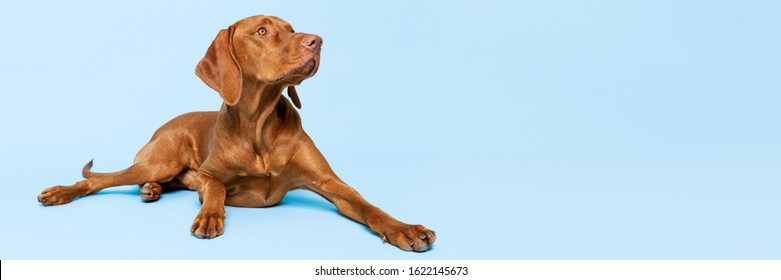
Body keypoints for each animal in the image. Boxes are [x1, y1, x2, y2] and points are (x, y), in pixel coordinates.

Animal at [36, 14, 436, 253]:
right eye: (262, 31)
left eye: (292, 29)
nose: (317, 41)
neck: (259, 126)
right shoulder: (209, 174)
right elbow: (214, 187)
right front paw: (211, 215)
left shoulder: (330, 183)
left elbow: (369, 206)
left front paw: (404, 228)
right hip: (158, 160)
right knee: (99, 181)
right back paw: (61, 192)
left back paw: (152, 191)